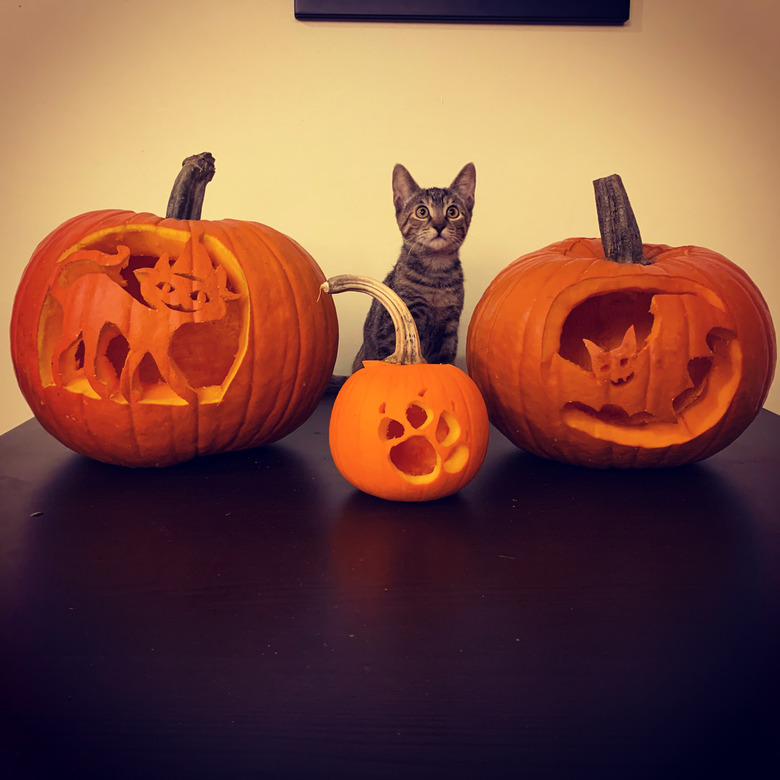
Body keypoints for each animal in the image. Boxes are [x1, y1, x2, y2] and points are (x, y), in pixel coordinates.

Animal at [352, 161, 476, 372]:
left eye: (452, 212)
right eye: (422, 211)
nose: (439, 225)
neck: (436, 274)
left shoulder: (450, 328)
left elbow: (445, 361)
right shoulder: (398, 323)